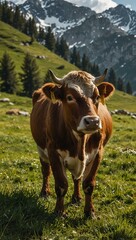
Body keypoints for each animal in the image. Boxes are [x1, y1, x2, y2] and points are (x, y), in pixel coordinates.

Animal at [30, 69, 114, 218]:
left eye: (97, 97)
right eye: (69, 97)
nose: (92, 121)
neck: (80, 140)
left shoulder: (98, 152)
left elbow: (88, 184)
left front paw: (89, 212)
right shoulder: (53, 151)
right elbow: (61, 184)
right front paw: (59, 211)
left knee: (77, 178)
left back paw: (76, 198)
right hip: (41, 149)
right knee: (45, 171)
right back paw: (45, 192)